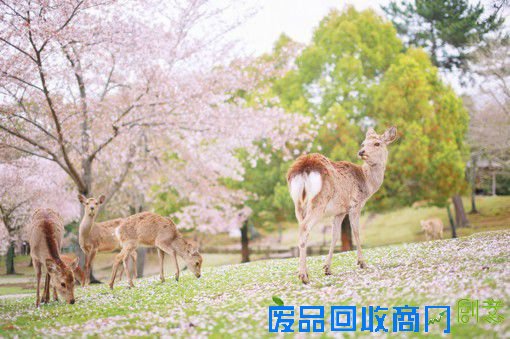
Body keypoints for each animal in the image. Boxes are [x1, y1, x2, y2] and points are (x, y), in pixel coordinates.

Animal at [286, 127, 398, 284]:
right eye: (363, 143)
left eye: (377, 143)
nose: (361, 152)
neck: (367, 183)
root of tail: (303, 168)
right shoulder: (355, 205)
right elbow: (356, 231)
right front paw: (362, 262)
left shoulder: (339, 211)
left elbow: (335, 236)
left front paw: (327, 268)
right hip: (319, 201)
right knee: (304, 227)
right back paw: (304, 276)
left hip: (297, 203)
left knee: (301, 227)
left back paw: (304, 272)